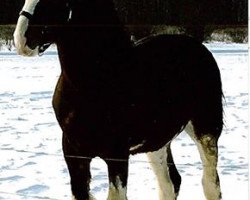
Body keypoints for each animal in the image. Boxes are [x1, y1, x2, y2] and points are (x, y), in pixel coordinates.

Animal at [13, 0, 223, 200]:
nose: (22, 39)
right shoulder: (74, 153)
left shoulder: (117, 155)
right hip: (157, 143)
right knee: (170, 184)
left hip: (205, 132)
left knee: (210, 184)